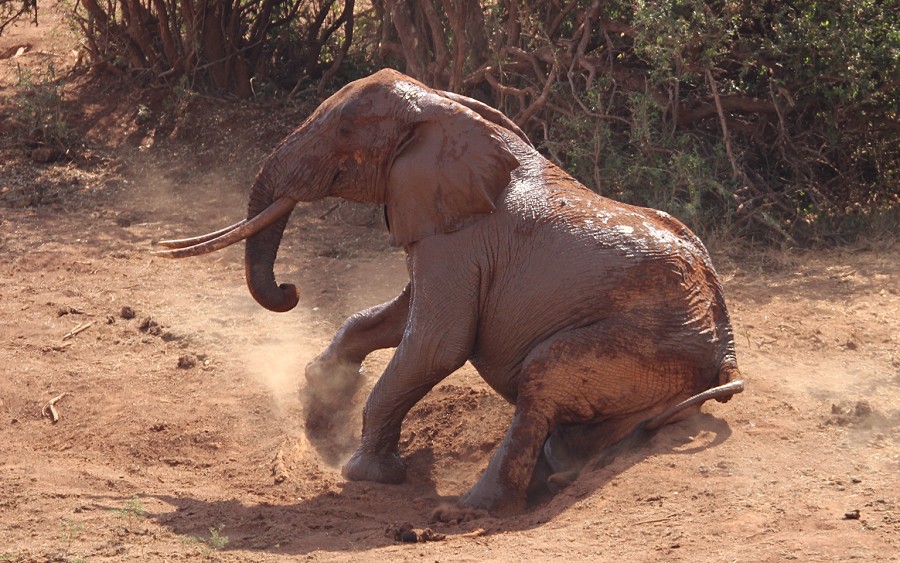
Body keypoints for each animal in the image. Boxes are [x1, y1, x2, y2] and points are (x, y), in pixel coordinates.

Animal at [156, 69, 744, 516]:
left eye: (345, 129)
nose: (289, 288)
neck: (442, 110)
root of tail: (726, 351)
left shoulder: (461, 241)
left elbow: (436, 344)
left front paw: (365, 474)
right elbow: (391, 318)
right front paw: (320, 403)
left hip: (645, 344)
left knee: (543, 373)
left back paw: (471, 510)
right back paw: (561, 474)